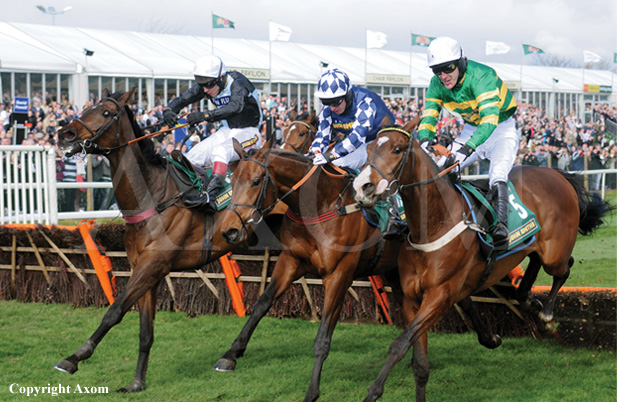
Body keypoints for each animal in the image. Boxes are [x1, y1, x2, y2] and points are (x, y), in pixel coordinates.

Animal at [54, 88, 282, 392]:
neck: (152, 196)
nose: (64, 133)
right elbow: (145, 331)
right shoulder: (146, 270)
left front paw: (74, 358)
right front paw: (137, 382)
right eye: (87, 107)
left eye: (105, 113)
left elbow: (115, 311)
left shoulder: (153, 265)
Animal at [213, 139, 404, 402]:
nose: (229, 231)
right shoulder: (290, 260)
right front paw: (230, 354)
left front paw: (312, 390)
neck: (320, 206)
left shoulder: (339, 275)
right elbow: (262, 303)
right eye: (232, 182)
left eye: (256, 181)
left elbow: (323, 336)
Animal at [352, 120, 612, 402]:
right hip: (534, 246)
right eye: (367, 149)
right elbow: (419, 362)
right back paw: (530, 300)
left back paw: (546, 315)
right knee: (531, 271)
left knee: (564, 268)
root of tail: (557, 174)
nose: (362, 186)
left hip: (555, 253)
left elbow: (399, 344)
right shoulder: (412, 298)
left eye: (397, 149)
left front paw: (373, 392)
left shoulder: (440, 296)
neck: (434, 223)